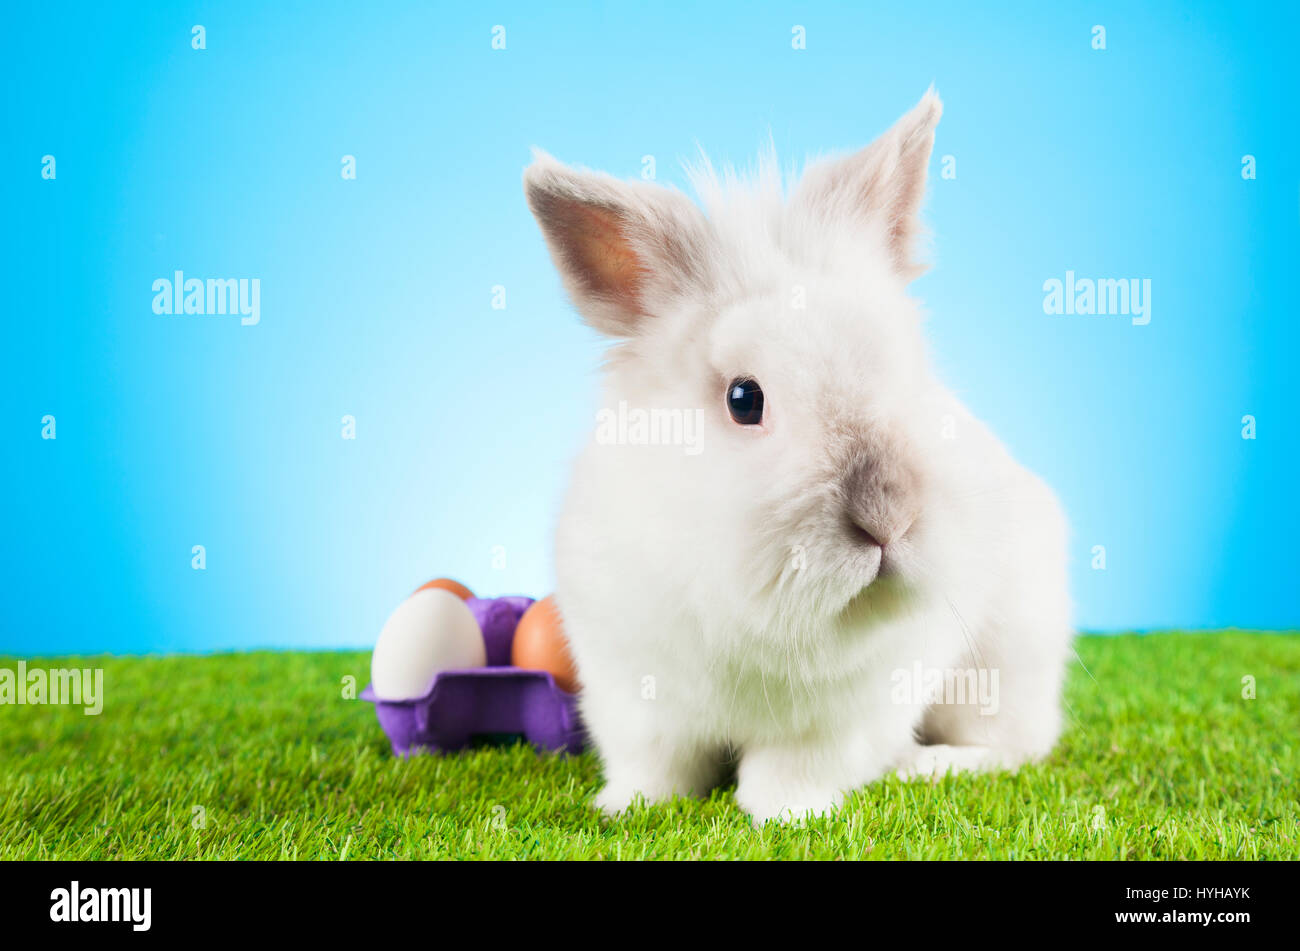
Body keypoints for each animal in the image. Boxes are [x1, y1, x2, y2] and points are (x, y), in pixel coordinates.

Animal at [523, 89, 1073, 824]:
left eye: (905, 368)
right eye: (743, 398)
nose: (887, 514)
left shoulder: (841, 720)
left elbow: (792, 771)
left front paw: (786, 816)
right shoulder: (631, 694)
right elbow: (655, 765)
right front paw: (626, 808)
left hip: (1005, 664)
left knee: (1015, 745)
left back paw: (924, 766)